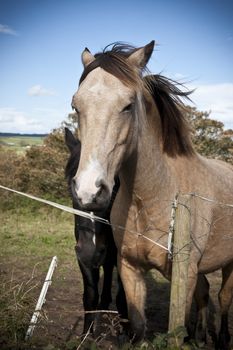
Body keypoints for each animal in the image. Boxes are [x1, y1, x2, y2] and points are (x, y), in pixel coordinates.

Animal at [64, 128, 126, 334]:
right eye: (72, 185)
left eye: (114, 186)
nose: (90, 251)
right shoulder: (82, 257)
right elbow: (90, 295)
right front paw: (86, 334)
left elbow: (123, 299)